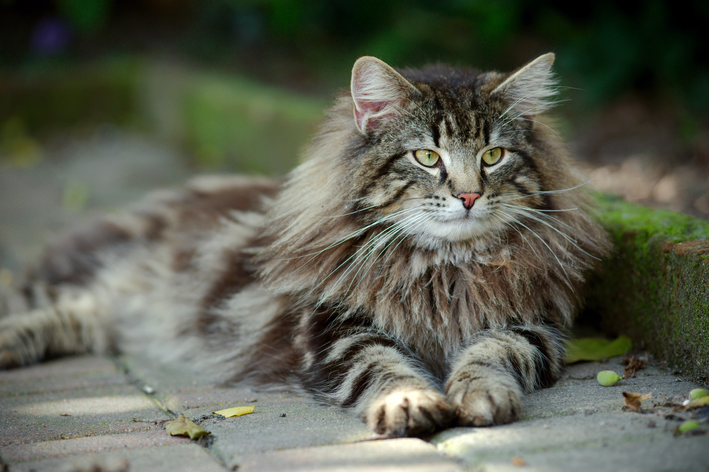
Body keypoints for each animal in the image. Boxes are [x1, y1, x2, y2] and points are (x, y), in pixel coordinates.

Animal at [0, 54, 608, 438]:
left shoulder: (531, 323)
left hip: (105, 314)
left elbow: (491, 354)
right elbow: (385, 367)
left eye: (492, 156)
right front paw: (411, 403)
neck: (443, 270)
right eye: (426, 157)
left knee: (75, 317)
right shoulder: (334, 330)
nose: (468, 196)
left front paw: (479, 396)